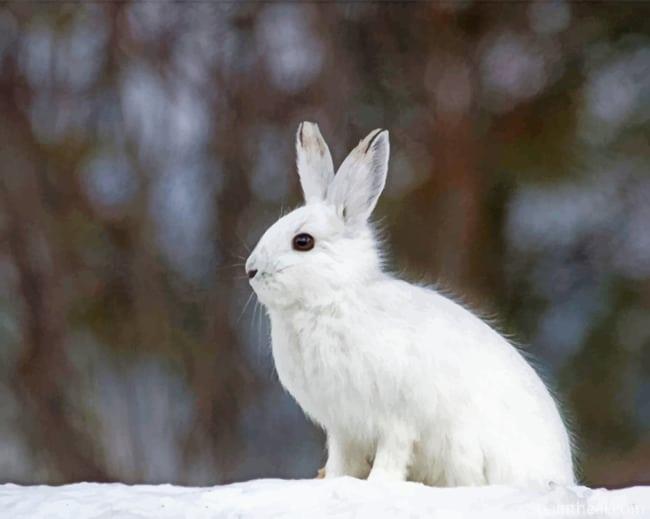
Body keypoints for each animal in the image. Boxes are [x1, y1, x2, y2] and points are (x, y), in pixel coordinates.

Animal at [245, 122, 575, 486]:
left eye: (303, 242)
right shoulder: (342, 428)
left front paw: (378, 483)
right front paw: (332, 480)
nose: (251, 270)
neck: (330, 300)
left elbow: (393, 453)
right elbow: (341, 461)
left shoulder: (396, 420)